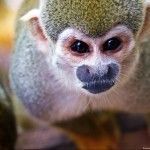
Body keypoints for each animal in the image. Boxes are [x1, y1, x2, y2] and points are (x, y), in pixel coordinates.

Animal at [9, 0, 150, 149]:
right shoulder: (32, 80)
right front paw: (95, 138)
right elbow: (56, 118)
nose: (99, 71)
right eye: (79, 46)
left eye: (112, 44)